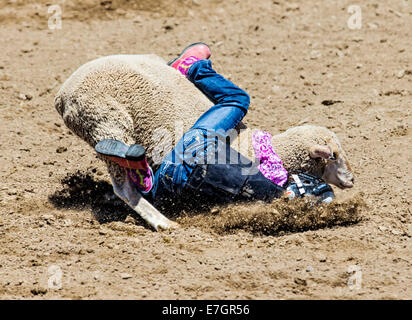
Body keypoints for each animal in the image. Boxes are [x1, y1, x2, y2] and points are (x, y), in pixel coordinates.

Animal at [55, 54, 354, 230]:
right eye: (333, 155)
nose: (352, 179)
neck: (255, 147)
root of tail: (62, 95)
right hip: (106, 119)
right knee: (124, 186)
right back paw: (162, 221)